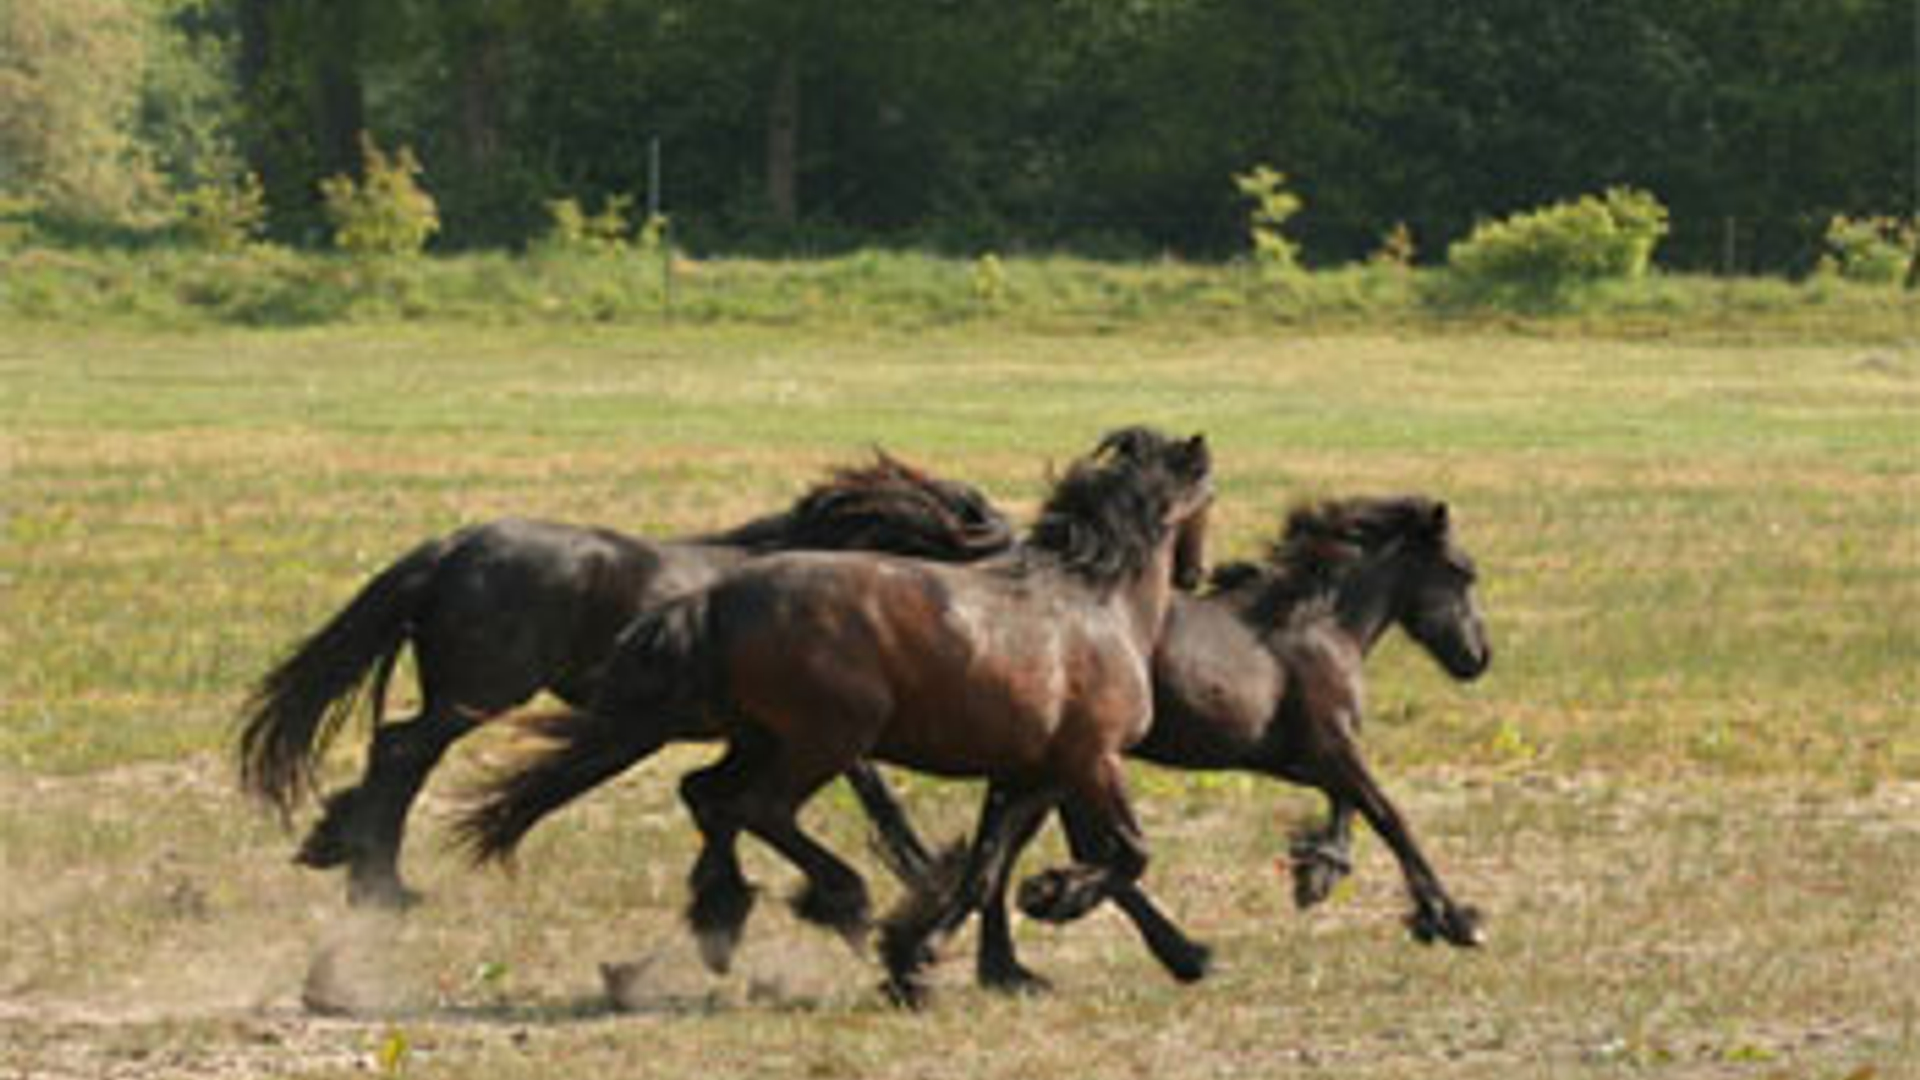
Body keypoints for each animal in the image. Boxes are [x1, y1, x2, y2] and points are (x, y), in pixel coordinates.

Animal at [235, 452, 1015, 909]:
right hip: (478, 694)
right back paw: (384, 884)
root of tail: (452, 548)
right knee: (402, 749)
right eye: (982, 530)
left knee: (397, 751)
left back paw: (345, 850)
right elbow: (878, 796)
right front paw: (927, 874)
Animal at [456, 426, 1215, 1007]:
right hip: (824, 740)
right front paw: (1052, 899)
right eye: (1209, 501)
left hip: (764, 738)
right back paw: (837, 900)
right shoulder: (1091, 762)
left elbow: (985, 870)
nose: (1196, 575)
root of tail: (713, 599)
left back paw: (714, 924)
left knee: (707, 796)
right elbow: (1126, 855)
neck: (1095, 606)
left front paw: (923, 958)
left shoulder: (1030, 775)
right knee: (757, 807)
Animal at [864, 494, 1492, 985]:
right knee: (1044, 852)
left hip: (1050, 766)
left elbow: (1350, 807)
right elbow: (1390, 817)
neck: (1314, 627)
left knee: (1009, 852)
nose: (1477, 658)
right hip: (1065, 764)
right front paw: (1454, 920)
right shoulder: (1328, 747)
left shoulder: (1294, 755)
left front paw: (1318, 871)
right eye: (1461, 572)